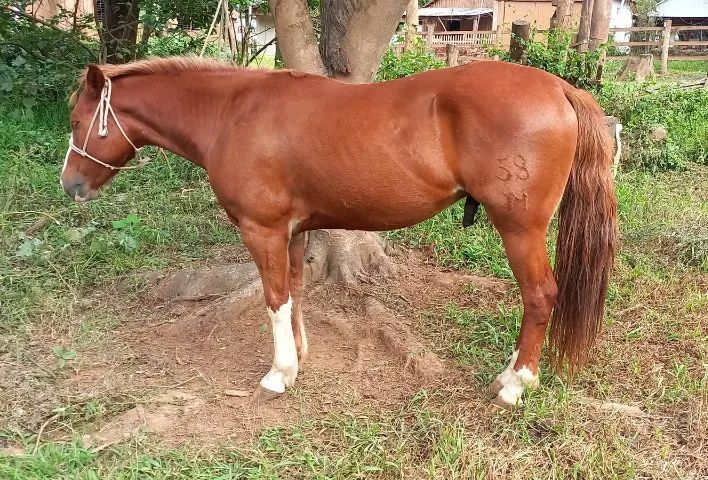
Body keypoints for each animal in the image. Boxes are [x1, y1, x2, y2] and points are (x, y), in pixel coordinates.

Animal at [60, 57, 617, 409]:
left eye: (78, 120)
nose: (71, 185)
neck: (233, 113)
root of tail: (558, 87)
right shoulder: (293, 230)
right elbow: (294, 291)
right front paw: (298, 359)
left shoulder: (262, 230)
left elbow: (274, 297)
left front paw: (278, 374)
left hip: (519, 228)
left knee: (540, 295)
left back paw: (515, 384)